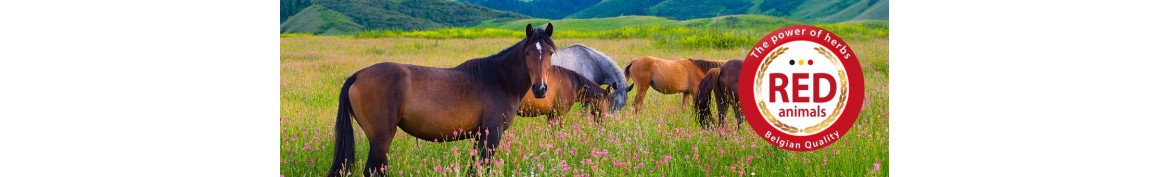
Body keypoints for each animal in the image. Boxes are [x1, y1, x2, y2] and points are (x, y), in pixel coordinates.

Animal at [325, 23, 552, 177]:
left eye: (550, 52)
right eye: (527, 52)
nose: (540, 89)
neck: (498, 79)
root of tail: (358, 75)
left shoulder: (480, 135)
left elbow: (474, 167)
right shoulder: (492, 133)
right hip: (381, 138)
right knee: (374, 170)